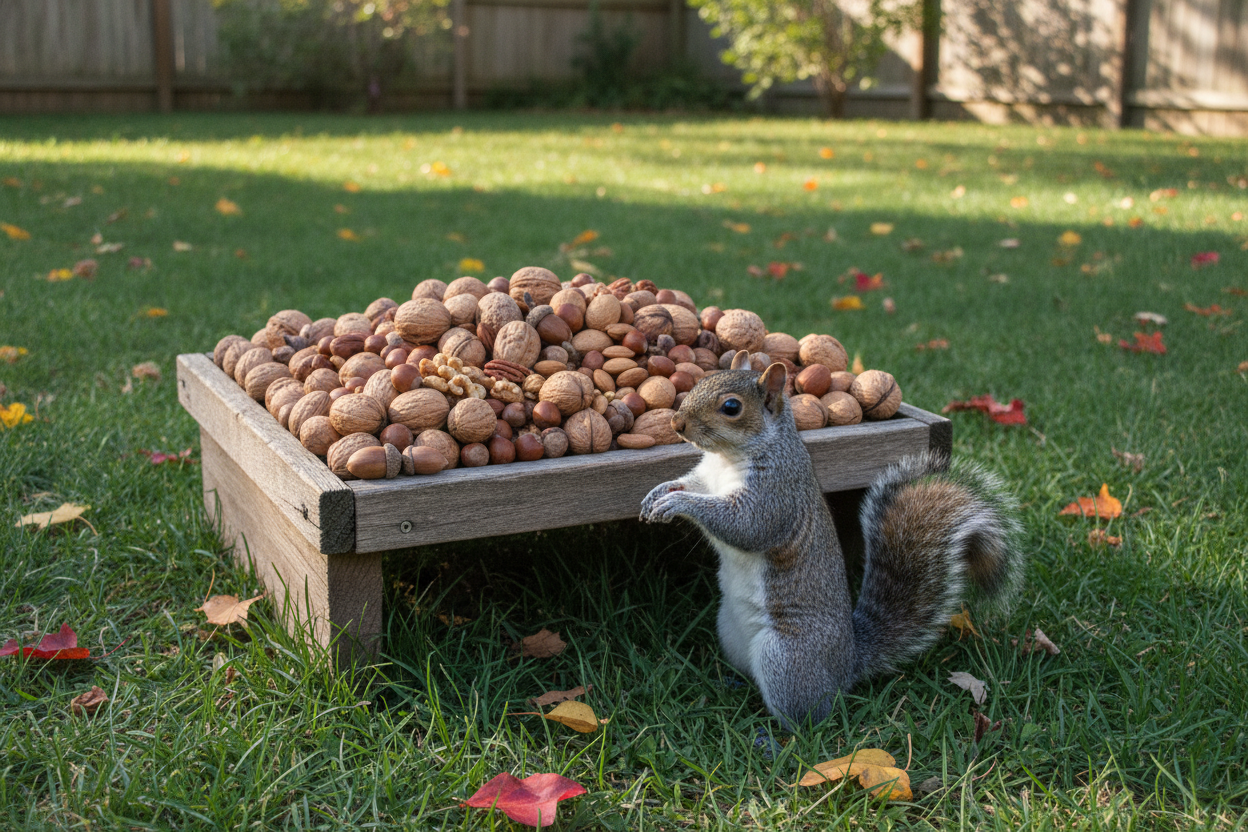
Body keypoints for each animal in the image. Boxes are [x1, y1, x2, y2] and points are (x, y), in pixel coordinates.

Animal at [639, 351, 1024, 728]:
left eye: (731, 407)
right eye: (701, 381)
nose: (676, 424)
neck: (727, 457)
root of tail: (846, 664)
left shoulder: (776, 495)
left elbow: (747, 526)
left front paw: (678, 504)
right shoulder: (706, 478)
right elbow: (689, 484)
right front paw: (657, 493)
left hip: (786, 658)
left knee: (810, 716)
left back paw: (771, 733)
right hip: (729, 631)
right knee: (750, 673)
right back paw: (731, 684)